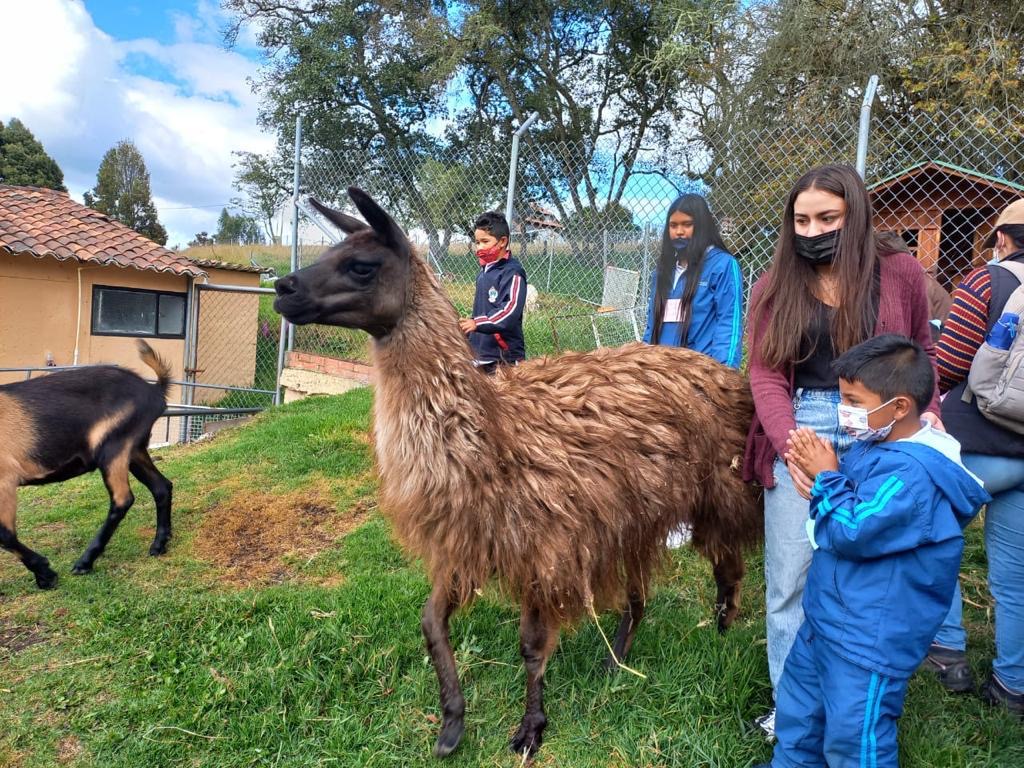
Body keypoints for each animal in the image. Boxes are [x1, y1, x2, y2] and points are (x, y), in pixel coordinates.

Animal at [0, 342, 174, 589]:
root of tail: (154, 391)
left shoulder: (5, 478)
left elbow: (4, 535)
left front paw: (46, 575)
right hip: (134, 449)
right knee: (161, 487)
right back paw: (159, 544)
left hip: (113, 446)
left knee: (123, 499)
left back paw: (85, 562)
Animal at [272, 189, 761, 761]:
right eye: (330, 250)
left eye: (361, 266)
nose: (283, 288)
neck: (493, 444)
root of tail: (723, 372)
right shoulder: (470, 541)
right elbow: (431, 623)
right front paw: (451, 725)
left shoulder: (546, 544)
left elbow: (530, 646)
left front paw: (530, 728)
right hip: (637, 508)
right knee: (644, 587)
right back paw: (617, 657)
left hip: (716, 485)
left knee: (727, 552)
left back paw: (722, 624)